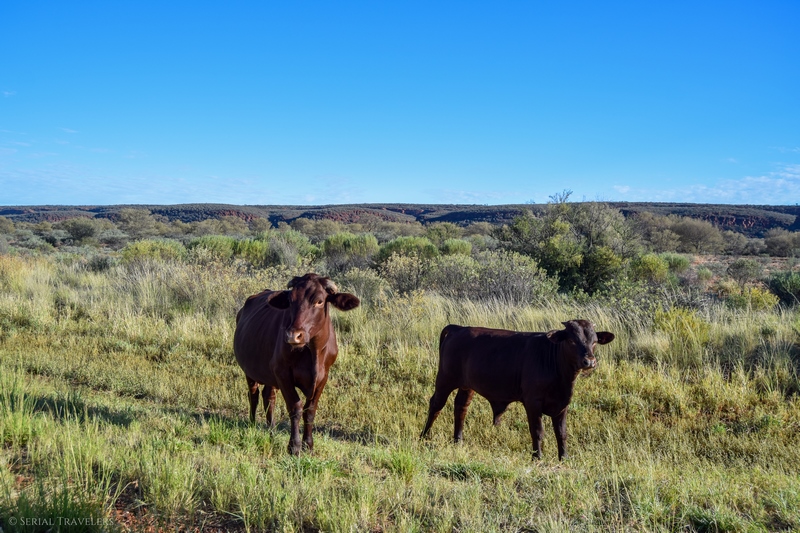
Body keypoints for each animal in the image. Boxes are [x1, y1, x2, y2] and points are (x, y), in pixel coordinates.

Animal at [233, 273, 360, 455]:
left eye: (319, 301)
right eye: (291, 300)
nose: (293, 336)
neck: (313, 352)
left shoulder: (323, 377)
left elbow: (310, 410)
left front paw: (309, 444)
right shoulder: (283, 373)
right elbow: (296, 407)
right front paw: (294, 446)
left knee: (268, 397)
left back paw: (271, 431)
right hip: (250, 371)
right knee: (254, 395)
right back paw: (252, 424)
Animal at [420, 320, 614, 460]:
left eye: (594, 342)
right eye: (572, 340)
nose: (589, 361)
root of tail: (458, 328)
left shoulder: (562, 404)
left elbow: (562, 433)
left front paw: (564, 458)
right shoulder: (533, 403)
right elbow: (537, 431)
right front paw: (537, 457)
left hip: (467, 386)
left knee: (461, 407)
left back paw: (458, 440)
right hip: (445, 380)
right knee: (436, 405)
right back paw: (424, 436)